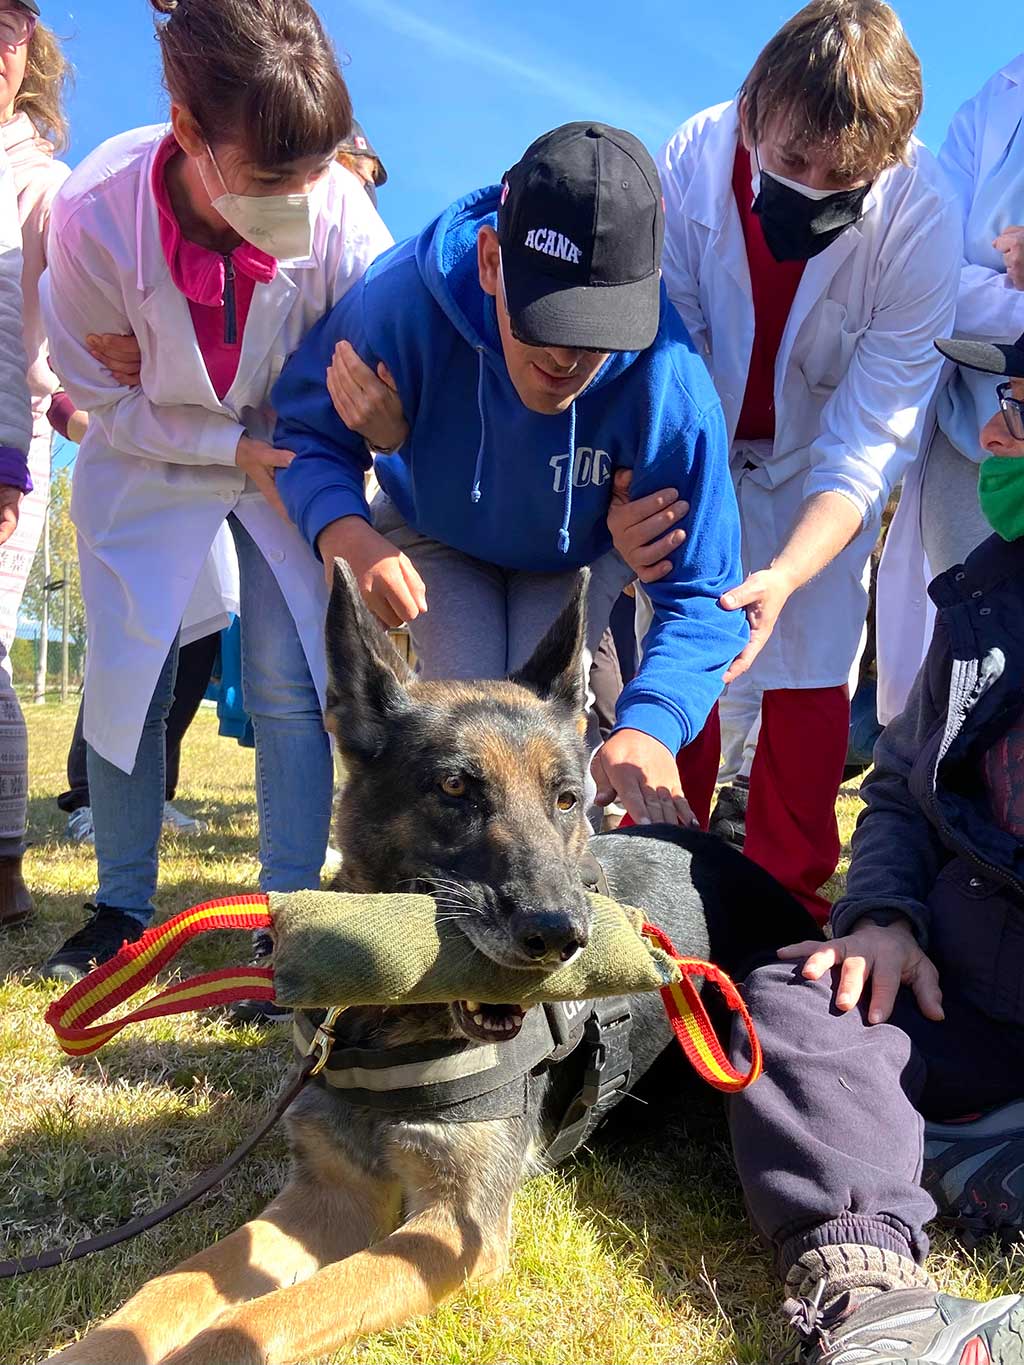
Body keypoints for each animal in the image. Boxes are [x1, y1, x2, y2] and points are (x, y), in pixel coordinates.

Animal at [54, 565, 819, 1365]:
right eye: (455, 788)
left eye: (567, 799)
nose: (561, 934)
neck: (385, 1020)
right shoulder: (330, 1195)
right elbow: (175, 1284)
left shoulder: (454, 1228)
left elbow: (254, 1322)